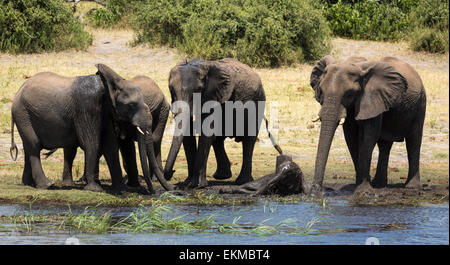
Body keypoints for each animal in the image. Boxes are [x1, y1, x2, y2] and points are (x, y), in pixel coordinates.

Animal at [10, 64, 171, 192]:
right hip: (23, 114)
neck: (111, 85)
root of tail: (17, 93)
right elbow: (92, 142)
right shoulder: (87, 107)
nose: (151, 192)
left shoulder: (105, 112)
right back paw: (47, 185)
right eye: (131, 105)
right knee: (34, 145)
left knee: (28, 147)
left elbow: (110, 146)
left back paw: (28, 183)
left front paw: (121, 189)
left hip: (24, 115)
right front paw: (95, 189)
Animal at [162, 58, 282, 189]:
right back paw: (222, 176)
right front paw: (187, 183)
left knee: (248, 140)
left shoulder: (214, 96)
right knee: (218, 139)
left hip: (258, 101)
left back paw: (242, 181)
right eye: (171, 89)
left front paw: (197, 185)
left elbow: (206, 131)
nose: (171, 172)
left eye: (198, 90)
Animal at [310, 55, 426, 192]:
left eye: (349, 94)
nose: (316, 189)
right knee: (384, 145)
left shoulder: (373, 97)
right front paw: (358, 186)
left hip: (420, 103)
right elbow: (351, 137)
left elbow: (370, 135)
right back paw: (379, 184)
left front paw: (363, 190)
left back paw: (411, 187)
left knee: (413, 141)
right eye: (321, 91)